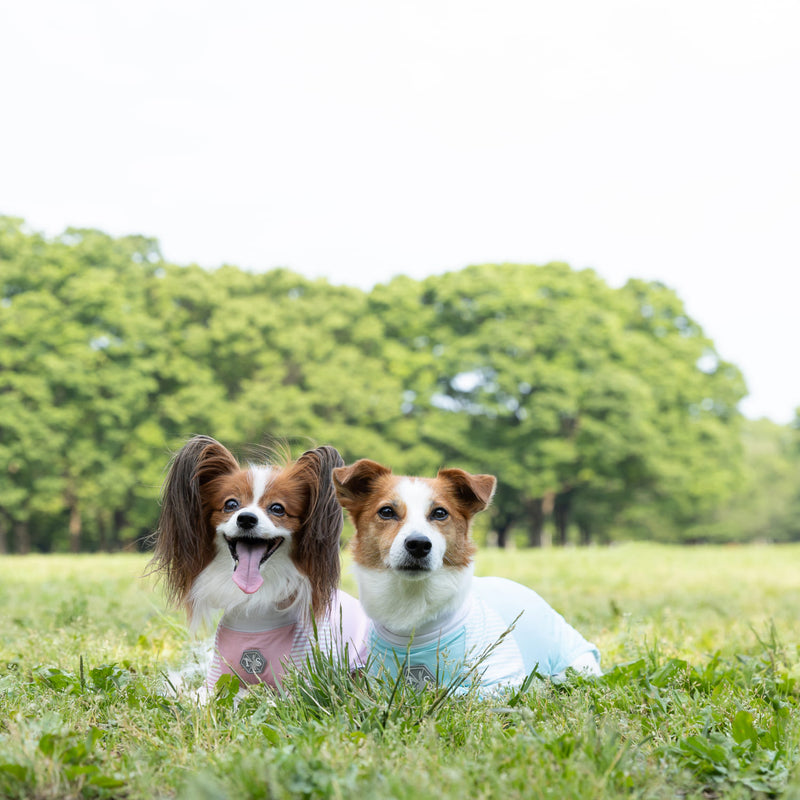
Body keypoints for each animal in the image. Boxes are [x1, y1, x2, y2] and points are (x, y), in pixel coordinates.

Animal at [150, 434, 368, 692]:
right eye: (231, 505)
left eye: (277, 509)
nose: (246, 519)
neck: (254, 605)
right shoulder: (217, 678)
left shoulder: (300, 681)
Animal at [332, 460, 600, 692]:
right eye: (386, 512)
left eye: (440, 513)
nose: (419, 544)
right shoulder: (378, 676)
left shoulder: (501, 683)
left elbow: (455, 692)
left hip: (578, 664)